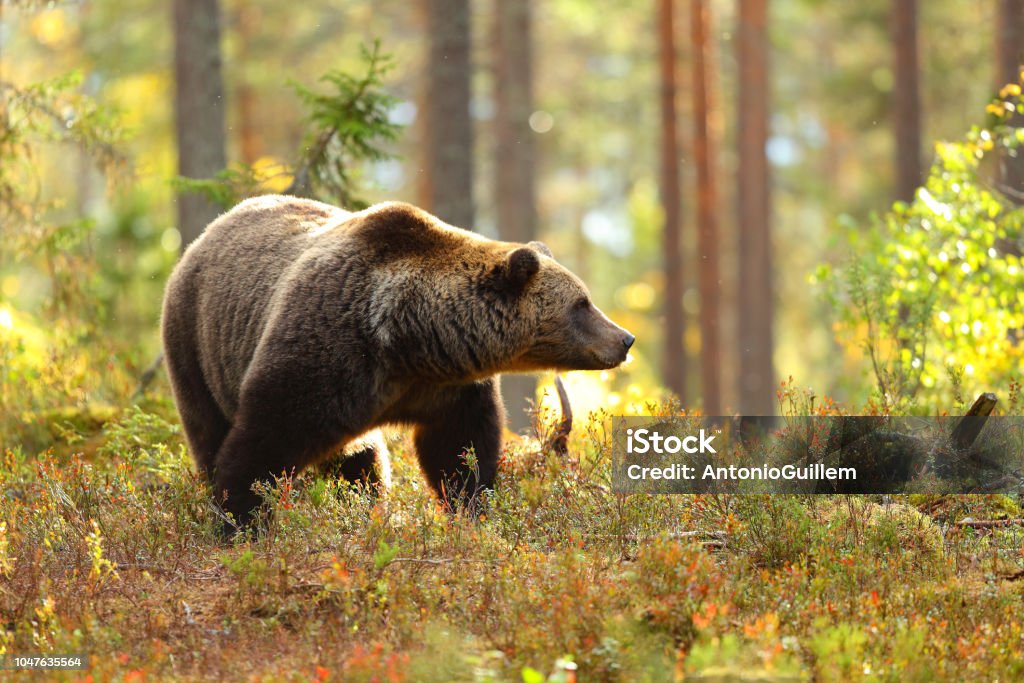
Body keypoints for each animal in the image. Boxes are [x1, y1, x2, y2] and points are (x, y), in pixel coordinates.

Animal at [159, 194, 630, 528]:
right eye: (582, 304)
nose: (625, 339)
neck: (408, 339)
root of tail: (205, 235)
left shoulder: (446, 389)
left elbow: (458, 450)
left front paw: (471, 508)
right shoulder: (324, 352)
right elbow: (264, 439)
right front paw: (240, 518)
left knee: (360, 462)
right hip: (195, 345)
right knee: (208, 428)